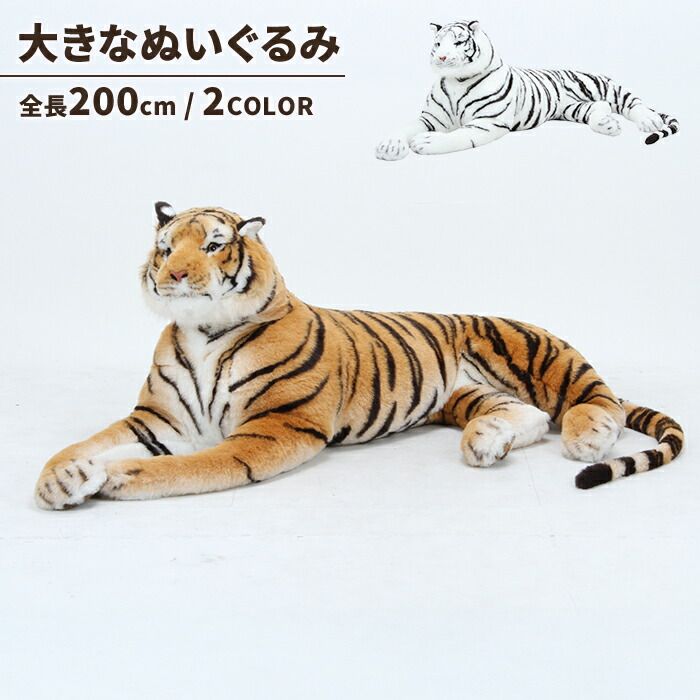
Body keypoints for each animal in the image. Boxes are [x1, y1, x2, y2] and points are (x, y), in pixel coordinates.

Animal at [34, 203, 685, 509]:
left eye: (214, 245)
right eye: (166, 248)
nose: (172, 276)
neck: (201, 331)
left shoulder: (271, 429)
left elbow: (185, 467)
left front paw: (116, 476)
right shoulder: (157, 420)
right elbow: (83, 444)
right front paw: (62, 478)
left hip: (534, 347)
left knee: (594, 399)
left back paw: (587, 438)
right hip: (464, 394)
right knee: (529, 414)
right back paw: (486, 442)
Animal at [376, 20, 679, 160]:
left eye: (459, 42)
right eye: (438, 44)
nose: (440, 57)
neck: (455, 81)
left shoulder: (486, 124)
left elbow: (458, 136)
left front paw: (425, 142)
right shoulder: (430, 118)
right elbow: (405, 127)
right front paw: (390, 146)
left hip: (605, 85)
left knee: (633, 102)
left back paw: (648, 121)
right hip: (572, 108)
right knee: (599, 108)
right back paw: (608, 125)